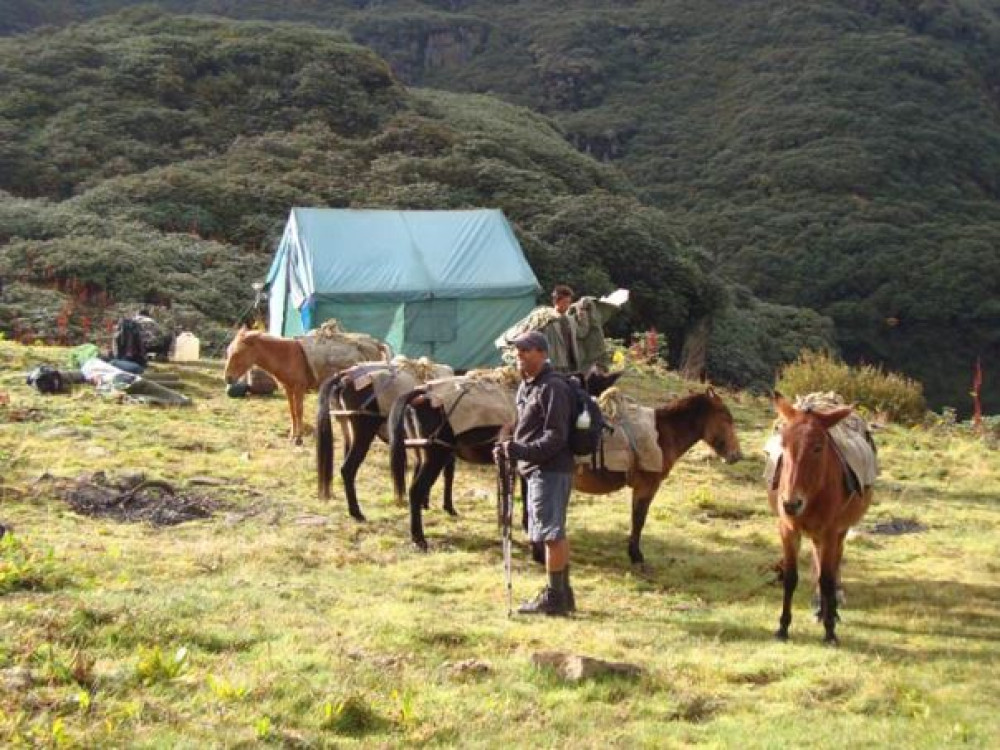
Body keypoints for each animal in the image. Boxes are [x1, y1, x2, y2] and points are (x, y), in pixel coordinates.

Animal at [572, 388, 744, 564]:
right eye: (726, 418)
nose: (737, 455)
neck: (663, 433)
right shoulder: (648, 486)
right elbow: (639, 518)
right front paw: (636, 555)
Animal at [768, 394, 872, 648]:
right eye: (783, 445)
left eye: (818, 447)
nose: (791, 503)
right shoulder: (788, 530)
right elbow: (790, 578)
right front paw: (783, 628)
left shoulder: (831, 532)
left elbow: (827, 579)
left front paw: (830, 631)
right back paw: (820, 608)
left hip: (839, 533)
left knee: (833, 567)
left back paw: (829, 610)